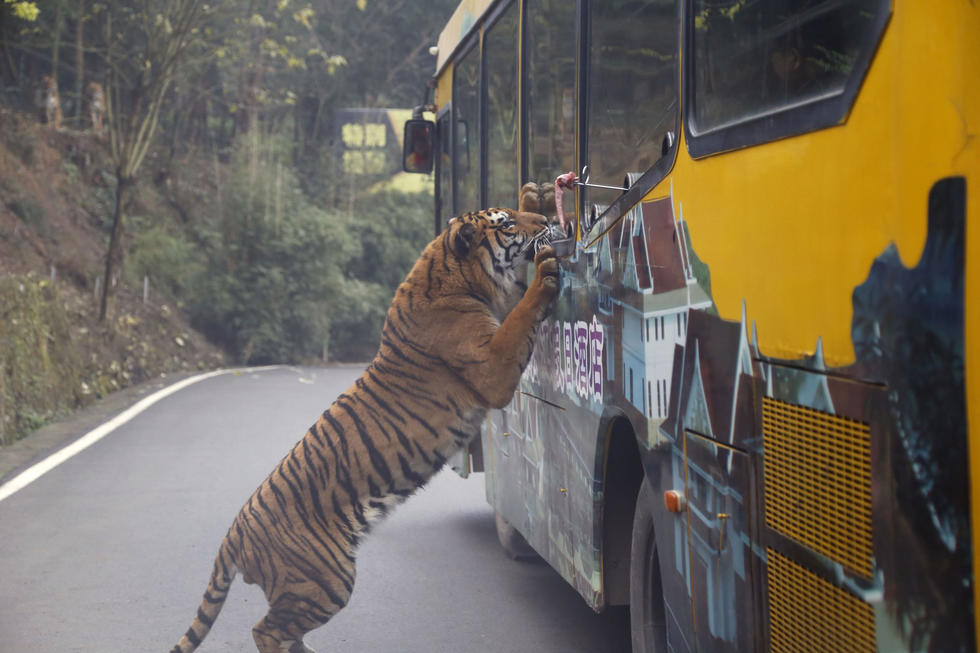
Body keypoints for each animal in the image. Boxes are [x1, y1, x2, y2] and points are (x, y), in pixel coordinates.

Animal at [170, 207, 559, 653]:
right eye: (507, 223)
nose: (545, 218)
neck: (455, 272)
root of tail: (234, 534)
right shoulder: (492, 366)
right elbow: (522, 314)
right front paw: (547, 268)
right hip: (327, 580)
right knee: (265, 630)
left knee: (283, 631)